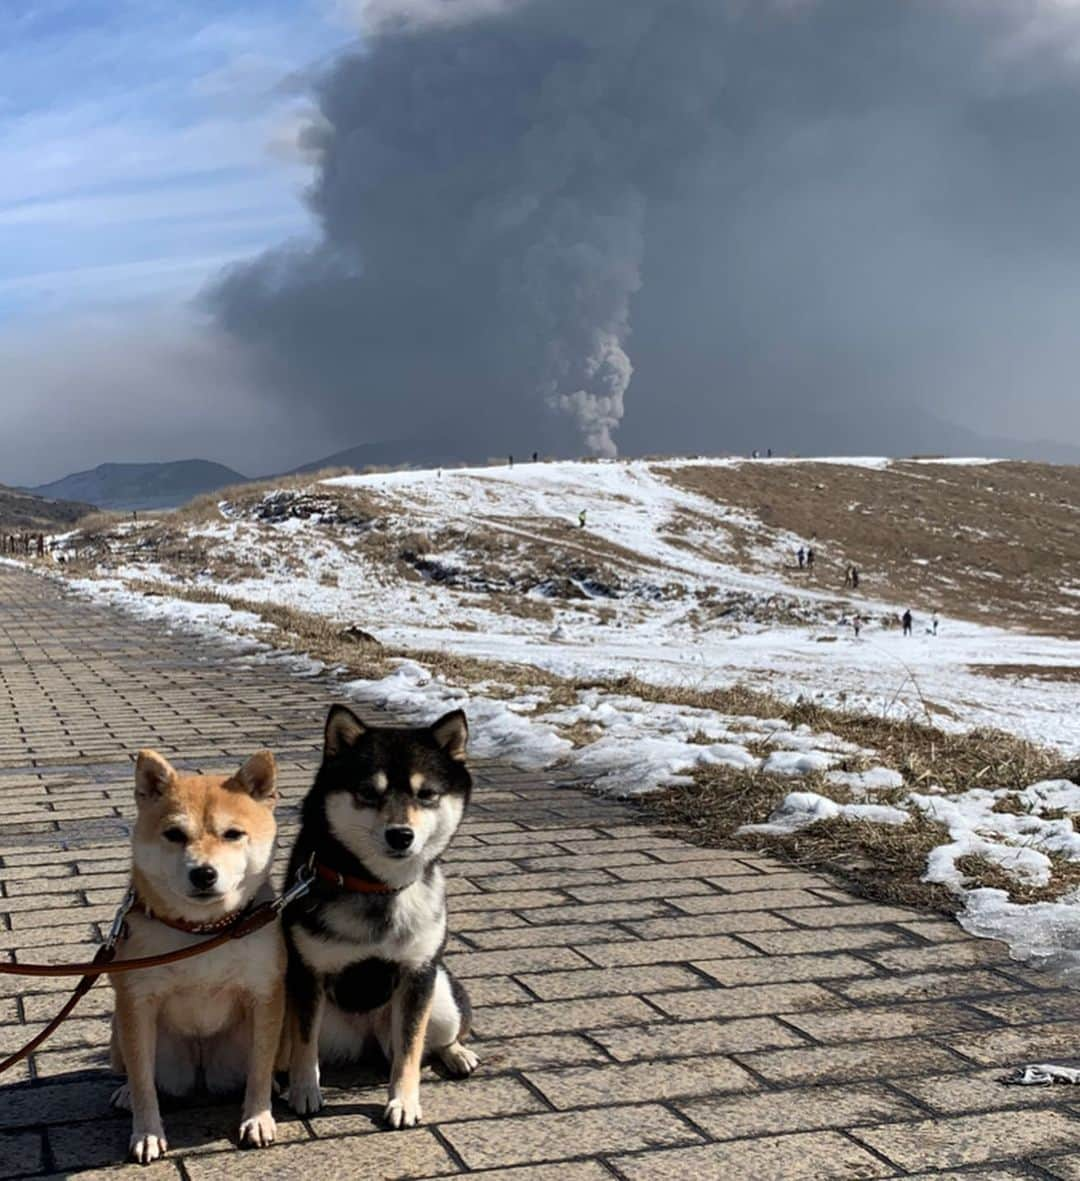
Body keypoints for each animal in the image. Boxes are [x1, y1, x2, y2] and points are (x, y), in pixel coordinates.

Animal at [282, 703, 475, 1129]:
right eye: (369, 792)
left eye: (427, 794)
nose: (400, 835)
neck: (378, 888)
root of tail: (367, 1038)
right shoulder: (306, 974)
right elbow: (303, 1044)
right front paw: (304, 1091)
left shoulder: (418, 974)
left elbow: (410, 1050)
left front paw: (403, 1102)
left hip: (441, 996)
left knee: (439, 1038)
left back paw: (457, 1053)